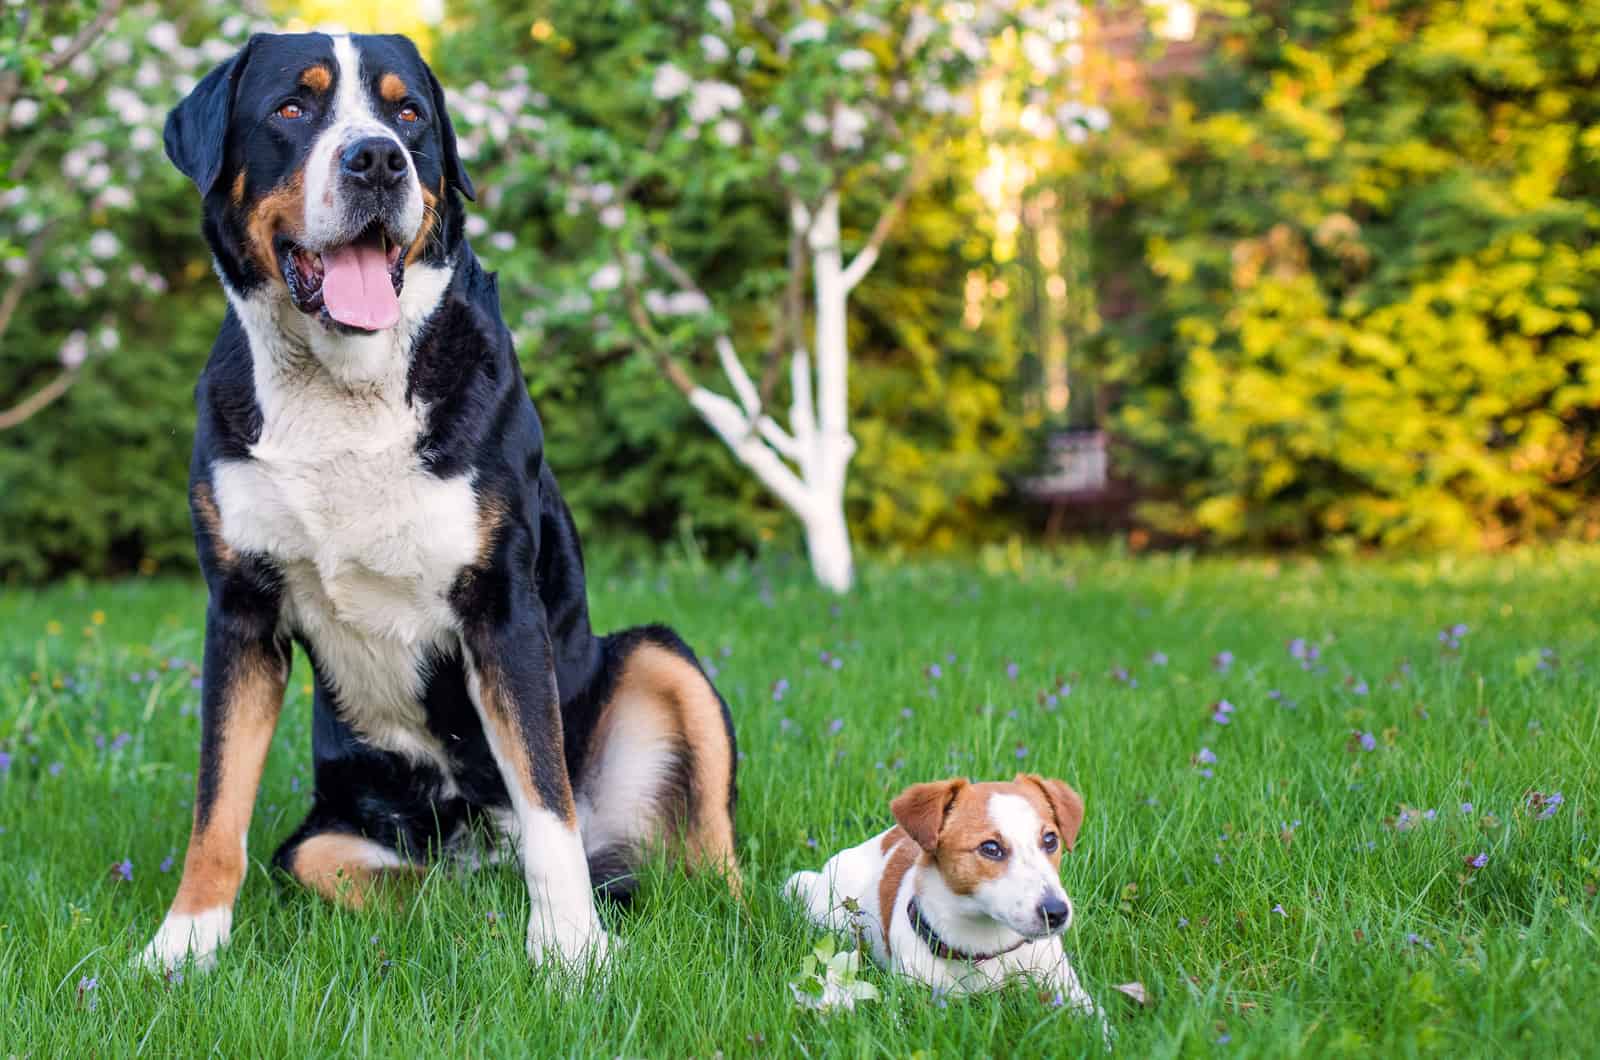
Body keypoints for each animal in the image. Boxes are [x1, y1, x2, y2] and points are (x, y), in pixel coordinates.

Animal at [140, 33, 739, 979]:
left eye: (408, 113)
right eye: (292, 107)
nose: (377, 159)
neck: (346, 388)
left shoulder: (502, 607)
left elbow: (546, 800)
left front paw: (570, 951)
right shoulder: (240, 612)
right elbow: (218, 805)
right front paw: (184, 945)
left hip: (656, 659)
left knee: (704, 853)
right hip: (338, 829)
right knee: (393, 880)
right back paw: (468, 914)